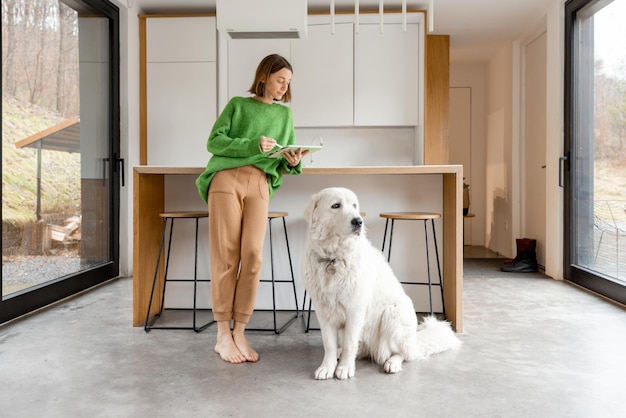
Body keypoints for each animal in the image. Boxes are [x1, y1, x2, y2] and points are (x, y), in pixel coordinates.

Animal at [300, 188, 460, 380]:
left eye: (354, 206)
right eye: (336, 205)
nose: (358, 221)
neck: (333, 259)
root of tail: (414, 342)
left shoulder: (355, 310)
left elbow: (349, 343)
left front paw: (345, 368)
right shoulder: (323, 311)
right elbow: (329, 344)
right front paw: (327, 367)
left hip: (393, 315)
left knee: (403, 354)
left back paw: (392, 363)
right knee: (362, 349)